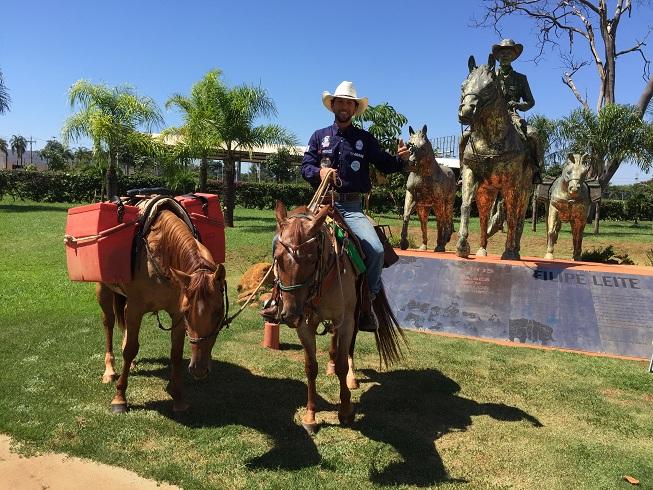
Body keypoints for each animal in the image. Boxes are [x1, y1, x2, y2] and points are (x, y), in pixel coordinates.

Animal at [97, 211, 227, 414]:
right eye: (188, 312)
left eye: (219, 312)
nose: (199, 370)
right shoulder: (135, 309)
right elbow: (130, 349)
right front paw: (119, 398)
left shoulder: (176, 314)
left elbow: (176, 353)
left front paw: (178, 397)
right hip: (104, 290)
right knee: (108, 324)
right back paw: (110, 370)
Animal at [272, 200, 404, 432]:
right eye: (278, 257)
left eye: (311, 259)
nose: (289, 315)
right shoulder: (305, 325)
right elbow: (310, 367)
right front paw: (310, 416)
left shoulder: (345, 321)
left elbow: (343, 361)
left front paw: (345, 411)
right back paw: (331, 365)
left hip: (355, 315)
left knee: (349, 348)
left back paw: (351, 377)